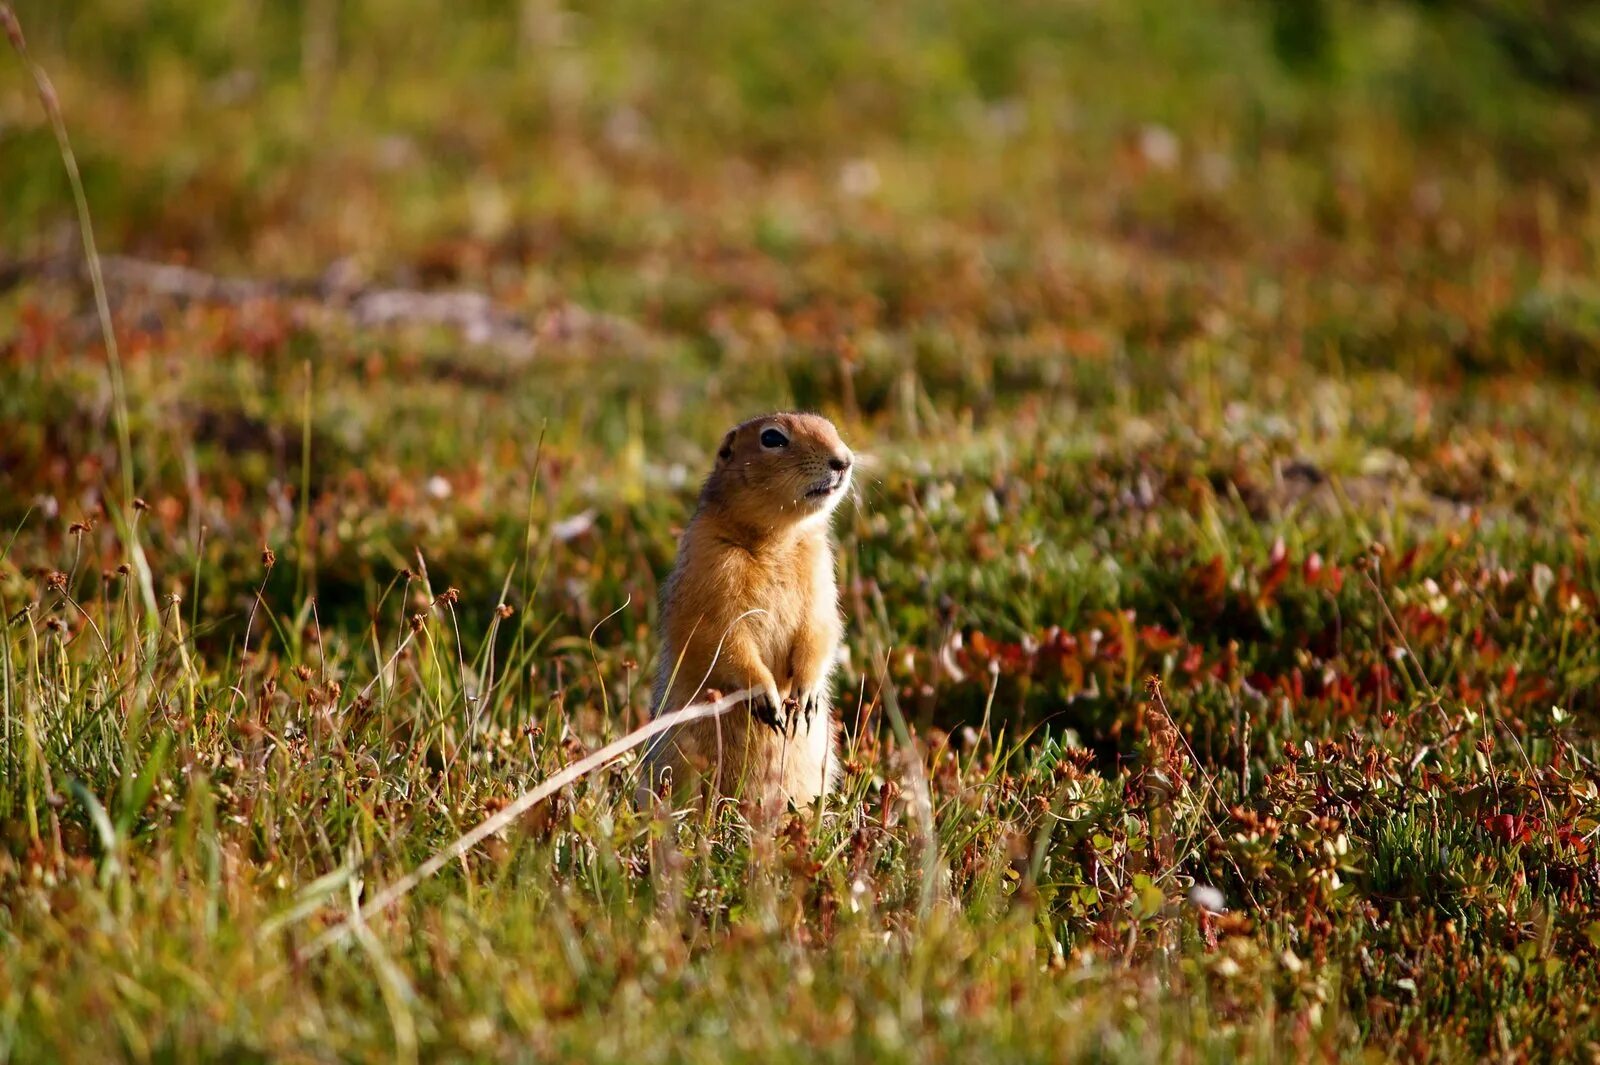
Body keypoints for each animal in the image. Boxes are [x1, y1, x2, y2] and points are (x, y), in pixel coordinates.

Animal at [643, 407, 857, 805]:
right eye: (772, 438)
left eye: (831, 427)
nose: (844, 460)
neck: (777, 541)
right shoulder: (710, 564)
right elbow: (720, 636)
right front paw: (766, 697)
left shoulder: (821, 572)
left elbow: (821, 627)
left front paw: (807, 694)